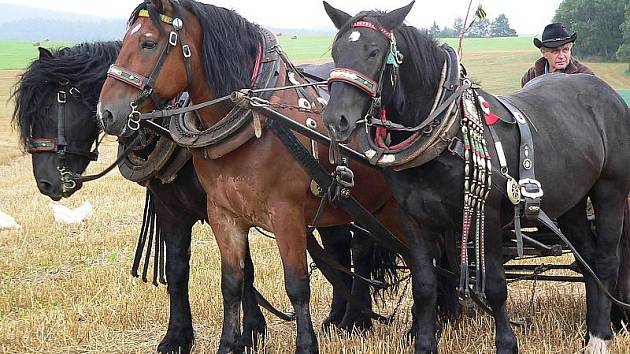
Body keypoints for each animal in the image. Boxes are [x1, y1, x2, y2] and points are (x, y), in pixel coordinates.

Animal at [12, 40, 398, 352]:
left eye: (51, 109)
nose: (46, 183)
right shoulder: (175, 210)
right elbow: (179, 271)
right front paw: (178, 336)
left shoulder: (233, 209)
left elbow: (247, 271)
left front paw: (250, 333)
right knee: (337, 248)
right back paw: (338, 317)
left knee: (360, 249)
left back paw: (357, 319)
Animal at [95, 1, 424, 352]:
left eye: (148, 43)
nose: (107, 112)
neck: (254, 119)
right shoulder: (222, 214)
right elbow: (231, 282)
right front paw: (227, 343)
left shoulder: (286, 215)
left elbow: (296, 285)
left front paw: (303, 345)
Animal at [324, 2, 630, 354]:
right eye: (336, 52)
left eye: (373, 52)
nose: (335, 120)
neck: (447, 133)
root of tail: (609, 95)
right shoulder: (414, 220)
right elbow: (425, 285)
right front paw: (424, 343)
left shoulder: (489, 218)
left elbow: (496, 286)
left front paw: (507, 344)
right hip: (571, 202)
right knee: (587, 258)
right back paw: (591, 332)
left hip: (611, 190)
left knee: (605, 260)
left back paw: (600, 337)